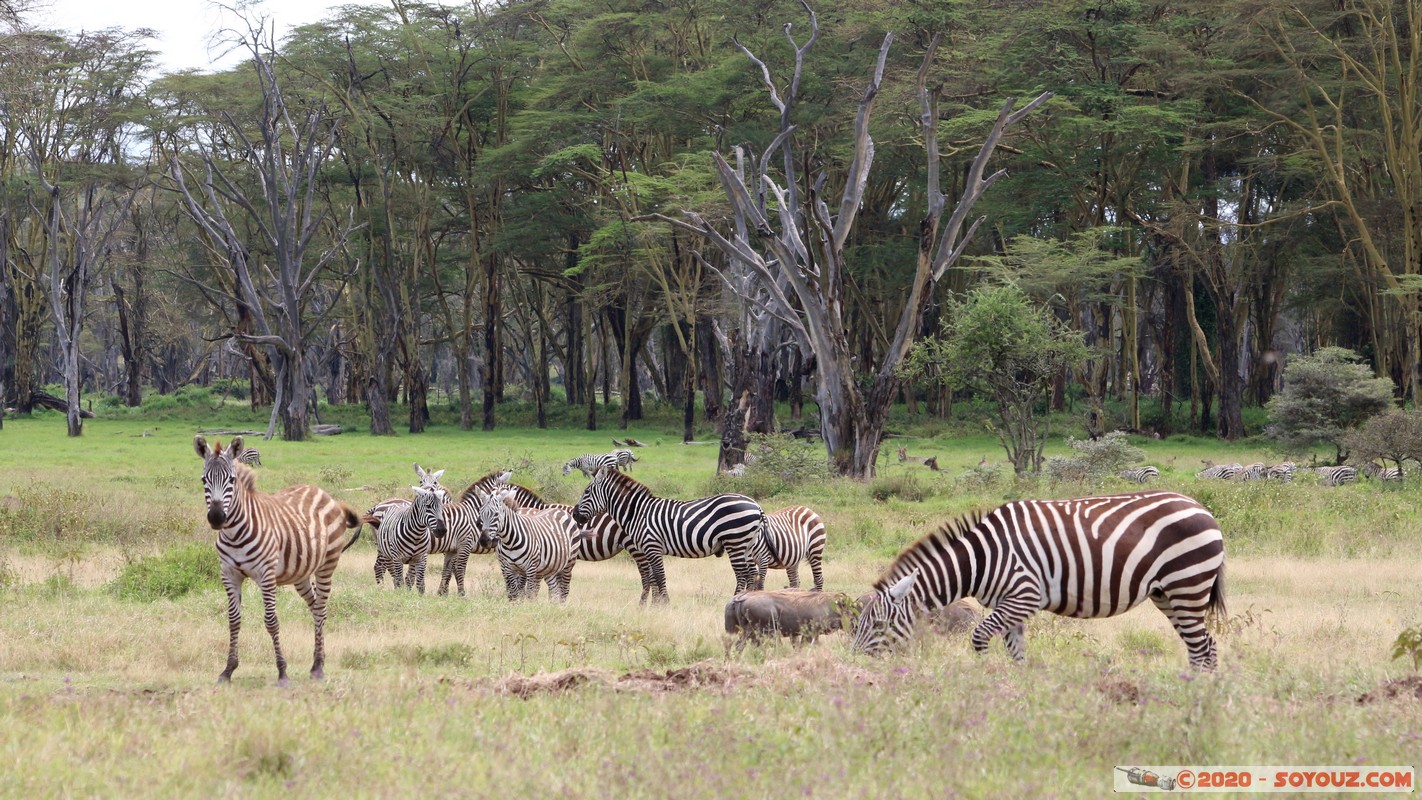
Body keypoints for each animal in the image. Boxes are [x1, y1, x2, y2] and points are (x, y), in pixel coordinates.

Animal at [194, 434, 361, 684]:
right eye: (204, 479)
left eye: (231, 480)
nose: (216, 517)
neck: (234, 533)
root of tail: (323, 492)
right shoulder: (229, 574)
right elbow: (233, 620)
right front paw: (228, 670)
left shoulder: (266, 575)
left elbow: (271, 621)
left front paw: (282, 672)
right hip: (301, 573)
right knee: (315, 608)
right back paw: (317, 661)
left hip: (327, 565)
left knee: (321, 609)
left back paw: (319, 666)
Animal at [568, 466, 767, 605]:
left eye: (586, 492)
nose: (575, 515)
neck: (638, 512)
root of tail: (756, 505)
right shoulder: (647, 550)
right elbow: (652, 578)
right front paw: (655, 605)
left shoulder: (652, 546)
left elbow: (659, 576)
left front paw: (664, 604)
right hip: (747, 544)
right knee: (752, 574)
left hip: (735, 541)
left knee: (742, 574)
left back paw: (735, 600)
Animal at [847, 491, 1228, 673]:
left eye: (877, 625)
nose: (854, 663)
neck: (984, 558)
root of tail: (1202, 507)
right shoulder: (1011, 606)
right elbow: (1016, 651)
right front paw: (1021, 693)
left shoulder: (1024, 597)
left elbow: (979, 637)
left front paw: (985, 678)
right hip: (1167, 594)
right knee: (1204, 646)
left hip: (1187, 584)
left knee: (1201, 647)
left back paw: (1197, 697)